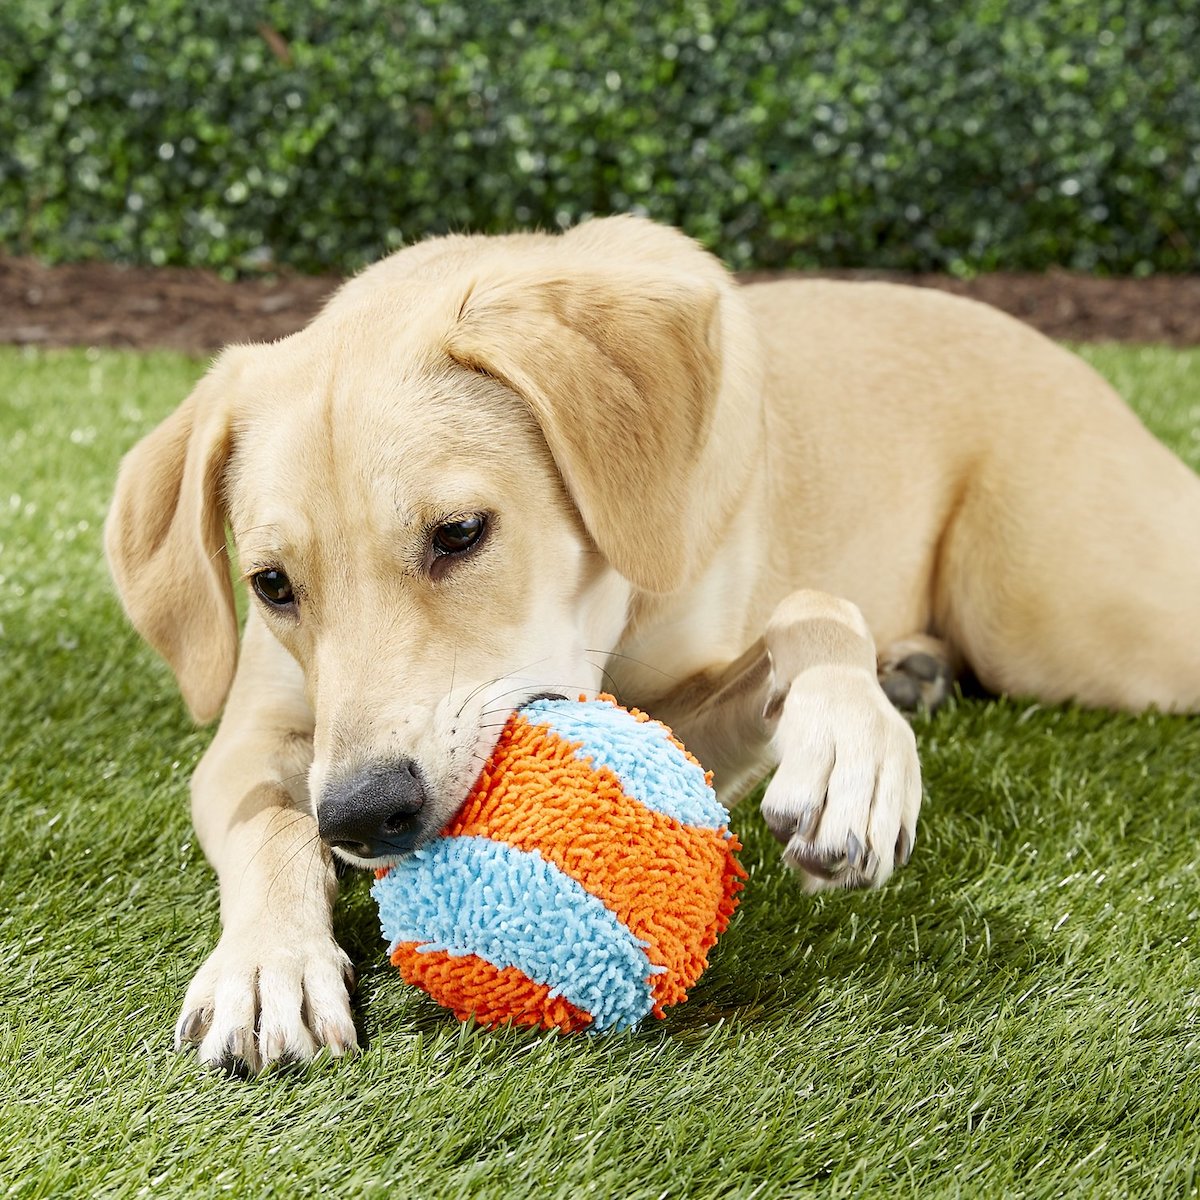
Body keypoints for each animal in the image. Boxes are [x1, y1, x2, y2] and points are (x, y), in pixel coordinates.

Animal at [105, 213, 1200, 1070]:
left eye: (459, 532)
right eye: (271, 585)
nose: (367, 816)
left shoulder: (694, 718)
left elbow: (814, 613)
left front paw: (853, 754)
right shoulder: (254, 738)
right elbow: (271, 827)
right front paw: (267, 966)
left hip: (1073, 623)